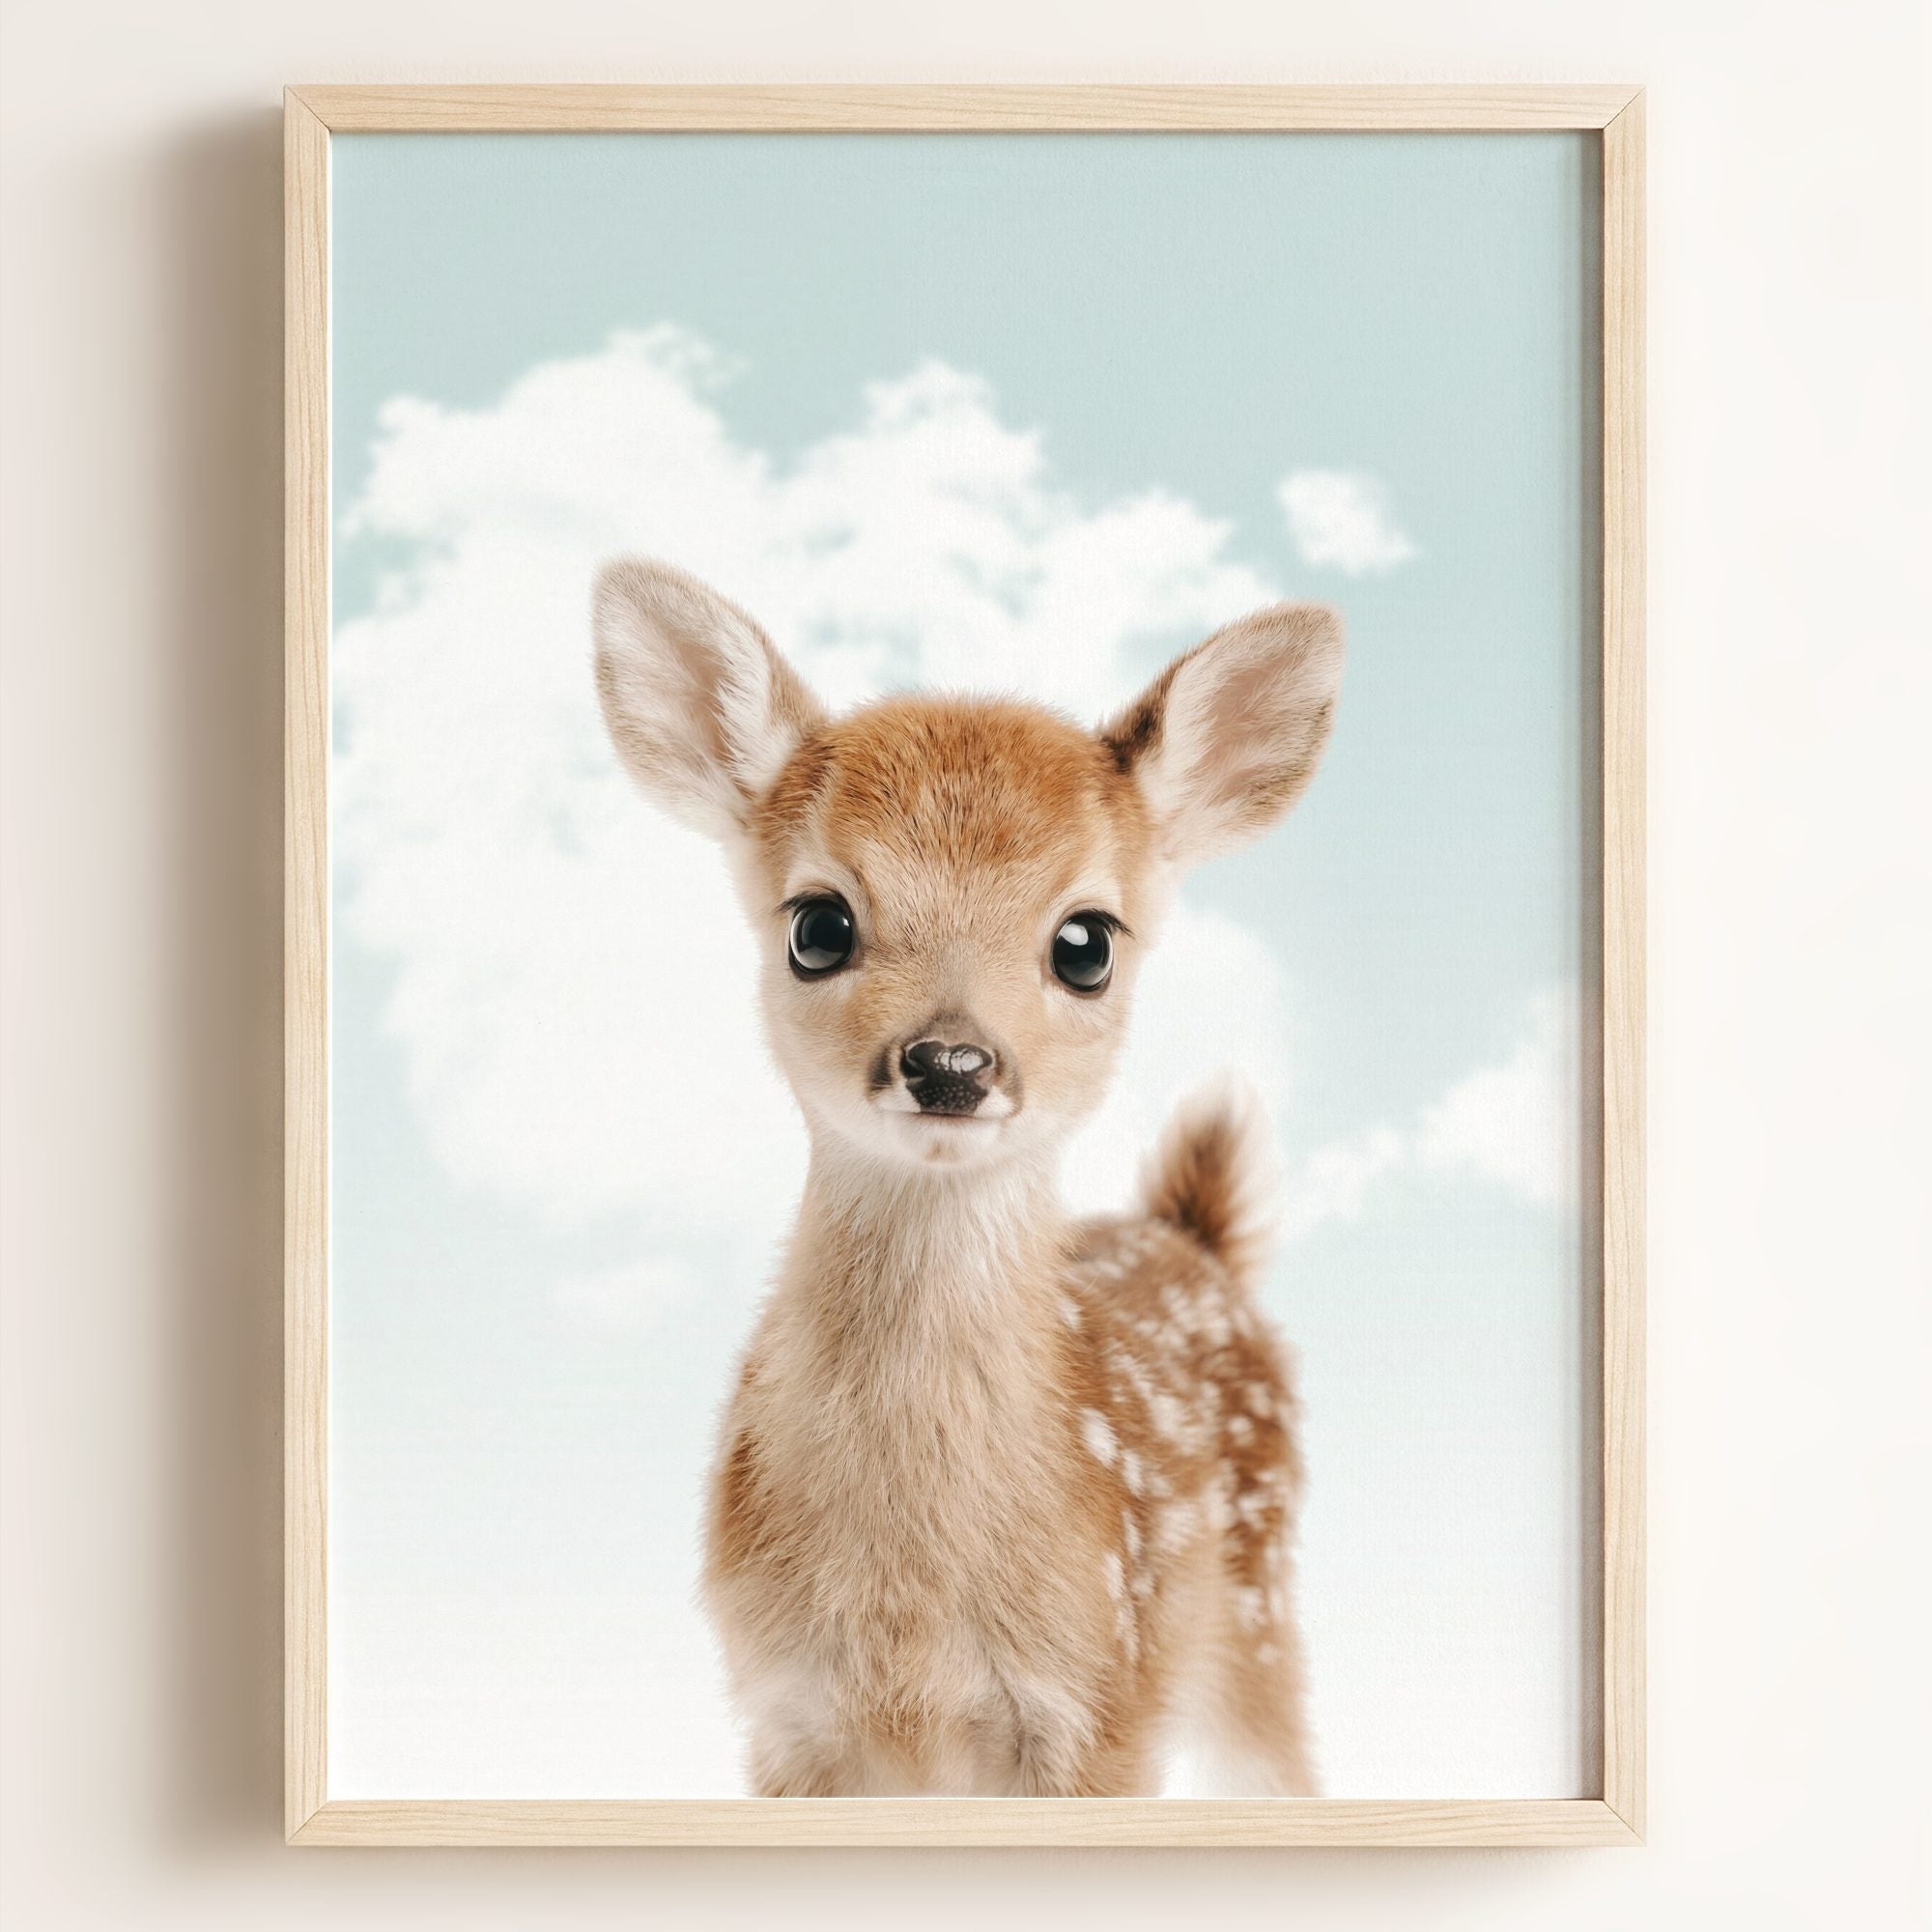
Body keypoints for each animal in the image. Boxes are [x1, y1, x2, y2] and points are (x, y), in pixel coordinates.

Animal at [592, 557, 1343, 1798]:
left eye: (1085, 942)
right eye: (817, 923)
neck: (912, 1614)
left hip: (1258, 1611)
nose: (949, 1062)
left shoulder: (1103, 1700)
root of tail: (1193, 1237)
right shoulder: (782, 1712)